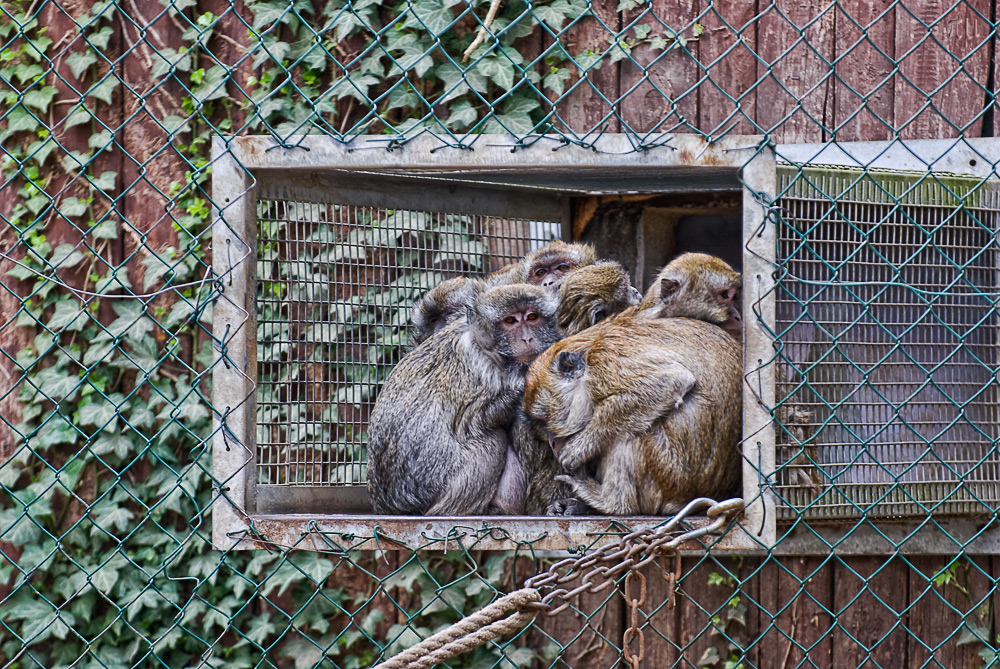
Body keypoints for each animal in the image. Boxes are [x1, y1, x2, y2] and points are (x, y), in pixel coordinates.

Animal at [372, 284, 568, 516]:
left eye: (532, 317)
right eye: (510, 321)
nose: (527, 339)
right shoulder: (484, 374)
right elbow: (476, 420)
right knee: (492, 442)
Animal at [524, 316, 744, 516]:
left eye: (545, 421)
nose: (552, 443)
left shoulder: (606, 359)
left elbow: (670, 381)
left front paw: (577, 449)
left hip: (670, 476)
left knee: (630, 433)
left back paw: (612, 503)